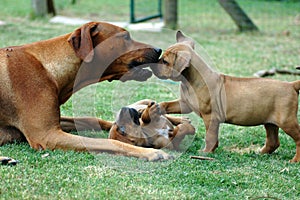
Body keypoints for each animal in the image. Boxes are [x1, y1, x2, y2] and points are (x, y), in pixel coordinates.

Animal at [0, 21, 172, 162]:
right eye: (126, 37)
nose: (159, 50)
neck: (49, 67)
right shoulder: (47, 135)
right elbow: (109, 141)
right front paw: (150, 152)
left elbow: (91, 119)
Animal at [151, 31, 300, 162]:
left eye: (165, 62)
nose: (152, 65)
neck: (190, 82)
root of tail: (291, 85)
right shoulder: (185, 103)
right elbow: (168, 104)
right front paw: (156, 108)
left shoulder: (210, 117)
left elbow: (210, 136)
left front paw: (206, 152)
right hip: (270, 122)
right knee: (273, 141)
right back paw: (260, 153)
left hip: (287, 121)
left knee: (298, 139)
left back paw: (295, 160)